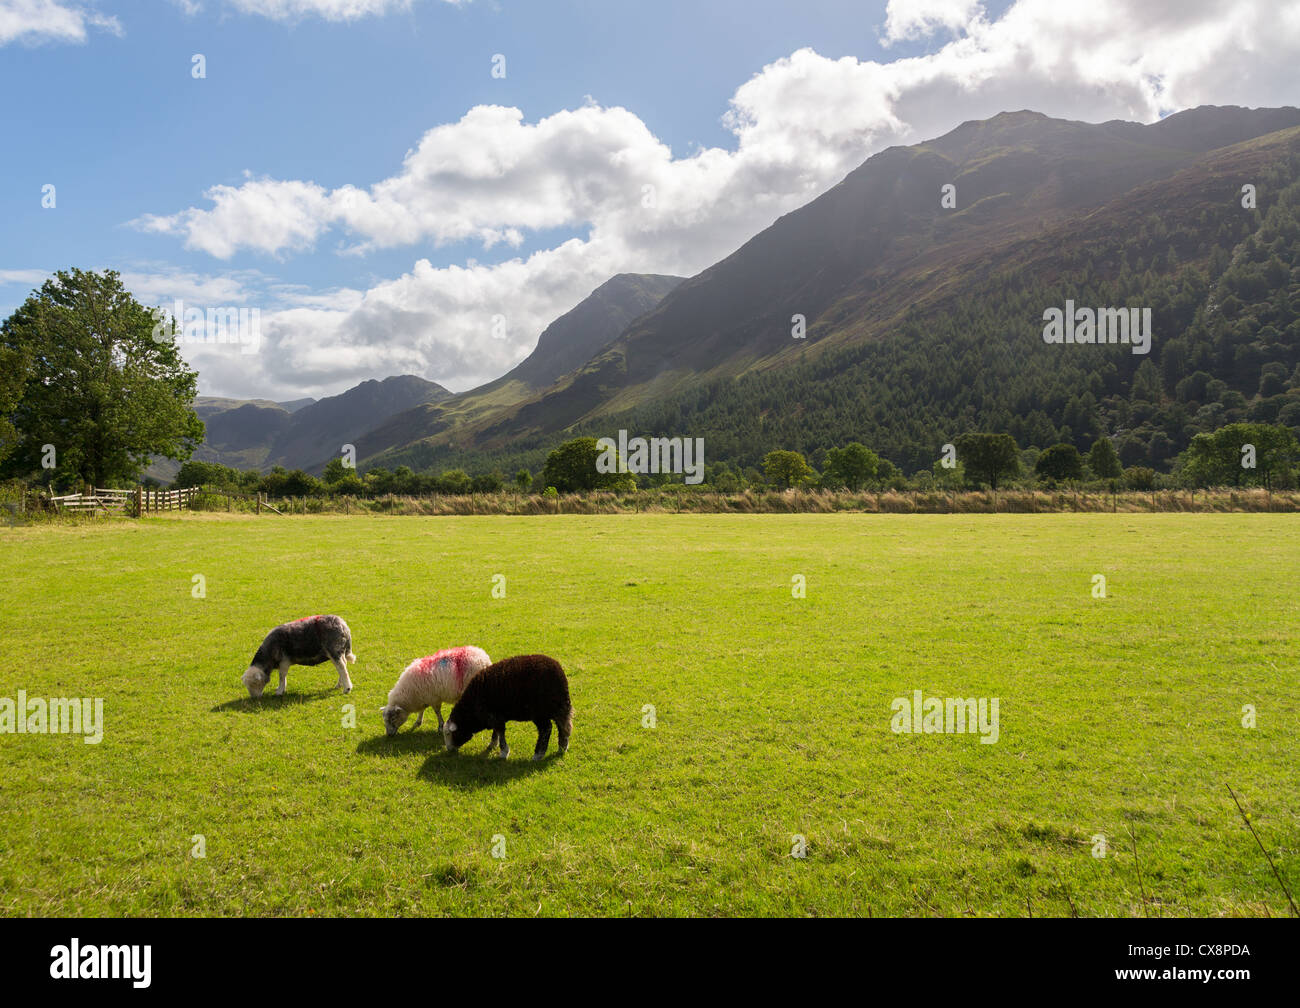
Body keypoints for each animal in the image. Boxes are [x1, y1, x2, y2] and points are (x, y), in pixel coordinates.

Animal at [444, 655, 572, 759]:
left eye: (448, 734)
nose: (449, 750)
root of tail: (559, 674)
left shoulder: (494, 717)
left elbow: (500, 733)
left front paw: (503, 753)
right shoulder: (495, 716)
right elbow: (496, 731)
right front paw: (492, 745)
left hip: (540, 711)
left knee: (546, 729)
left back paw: (538, 755)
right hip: (559, 707)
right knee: (563, 727)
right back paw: (562, 748)